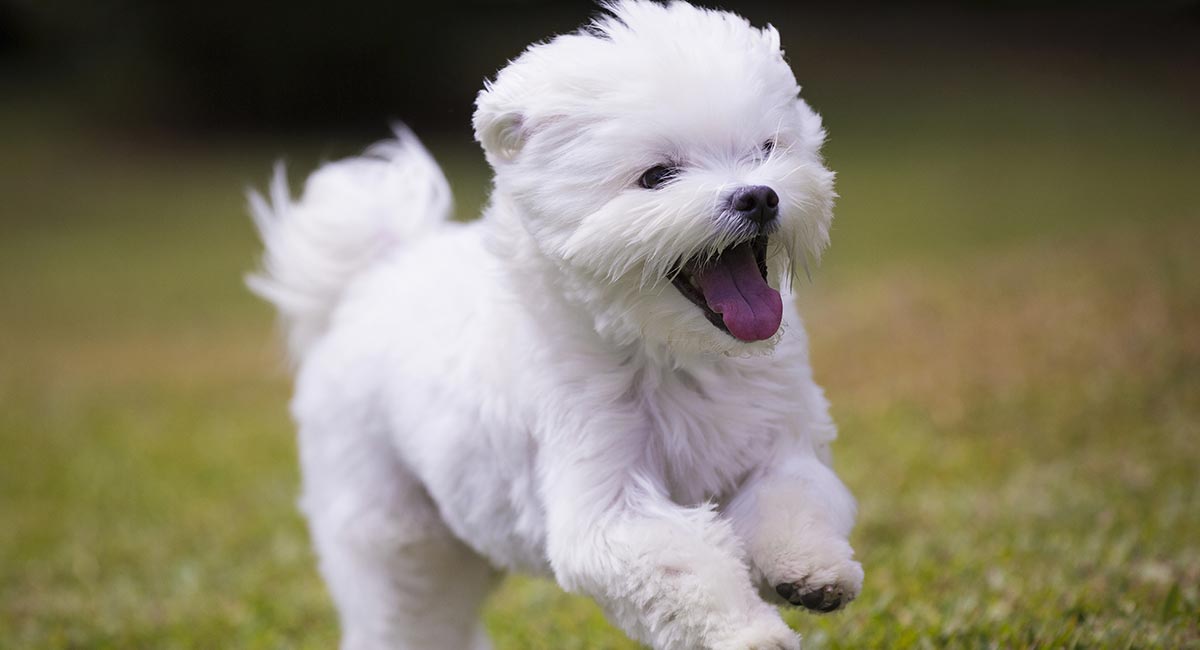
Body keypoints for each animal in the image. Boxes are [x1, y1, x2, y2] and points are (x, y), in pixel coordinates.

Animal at [250, 1, 864, 650]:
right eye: (657, 176)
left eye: (766, 148)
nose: (759, 196)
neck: (672, 353)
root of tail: (372, 276)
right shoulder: (605, 500)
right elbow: (686, 568)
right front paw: (750, 633)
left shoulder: (778, 440)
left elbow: (792, 497)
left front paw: (811, 571)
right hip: (393, 531)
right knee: (407, 613)